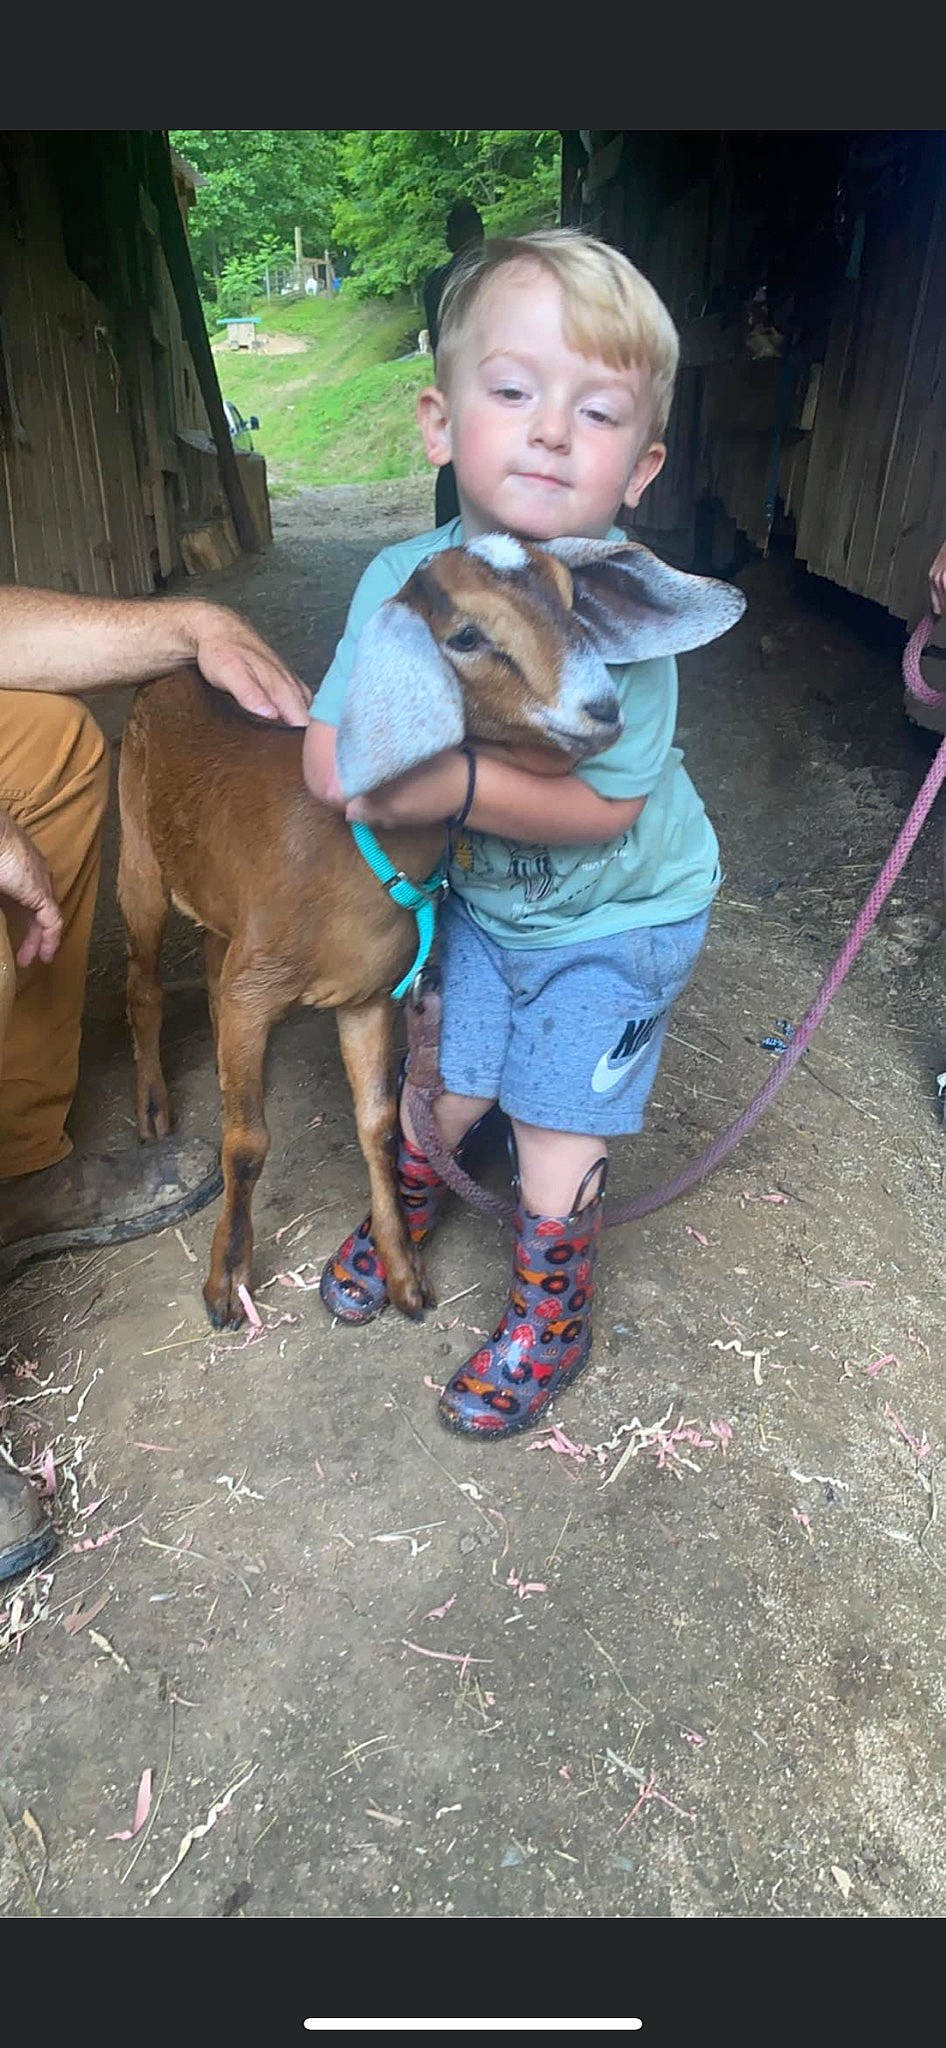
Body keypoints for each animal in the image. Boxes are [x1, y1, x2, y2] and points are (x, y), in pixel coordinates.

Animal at [117, 533, 744, 1330]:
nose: (602, 707)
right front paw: (226, 1283)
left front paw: (401, 1270)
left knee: (206, 953)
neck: (350, 858)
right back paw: (152, 1110)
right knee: (140, 982)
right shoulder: (254, 994)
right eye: (466, 637)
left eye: (570, 599)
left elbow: (381, 1125)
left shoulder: (365, 995)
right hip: (137, 855)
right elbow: (247, 1141)